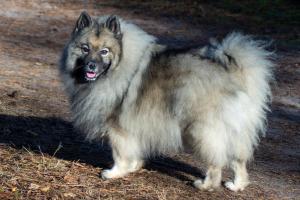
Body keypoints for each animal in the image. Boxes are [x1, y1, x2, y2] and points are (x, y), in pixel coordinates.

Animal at [59, 11, 274, 192]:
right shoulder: (135, 125)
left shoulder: (118, 126)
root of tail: (235, 73)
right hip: (236, 131)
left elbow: (120, 154)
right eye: (85, 49)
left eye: (104, 51)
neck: (119, 66)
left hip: (202, 130)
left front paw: (114, 173)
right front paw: (134, 167)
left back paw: (205, 185)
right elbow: (134, 150)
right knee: (239, 160)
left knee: (216, 162)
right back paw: (237, 185)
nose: (91, 66)